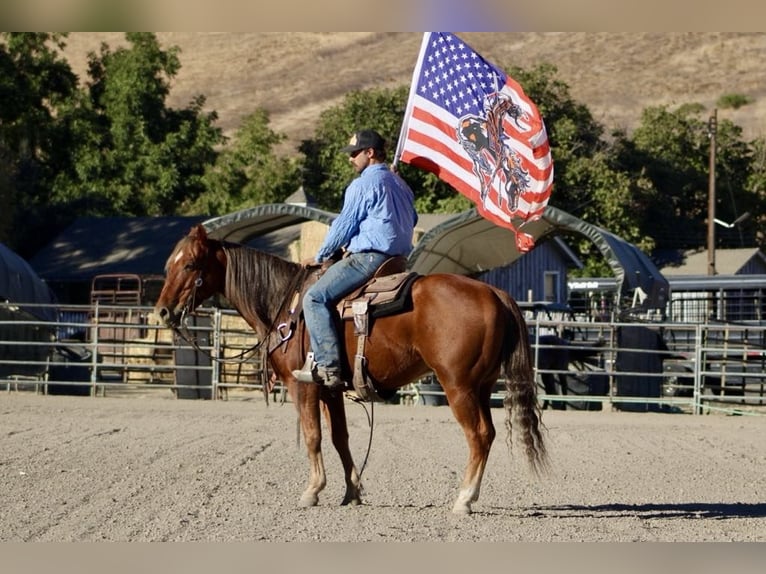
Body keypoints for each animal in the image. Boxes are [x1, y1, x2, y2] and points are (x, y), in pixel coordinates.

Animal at [153, 224, 548, 514]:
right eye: (168, 265)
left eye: (190, 265)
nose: (162, 311)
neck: (286, 305)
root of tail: (494, 293)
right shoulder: (330, 389)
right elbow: (339, 438)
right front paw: (352, 491)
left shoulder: (303, 387)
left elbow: (312, 436)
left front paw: (312, 490)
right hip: (481, 386)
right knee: (490, 434)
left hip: (459, 386)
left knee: (478, 435)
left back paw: (464, 499)